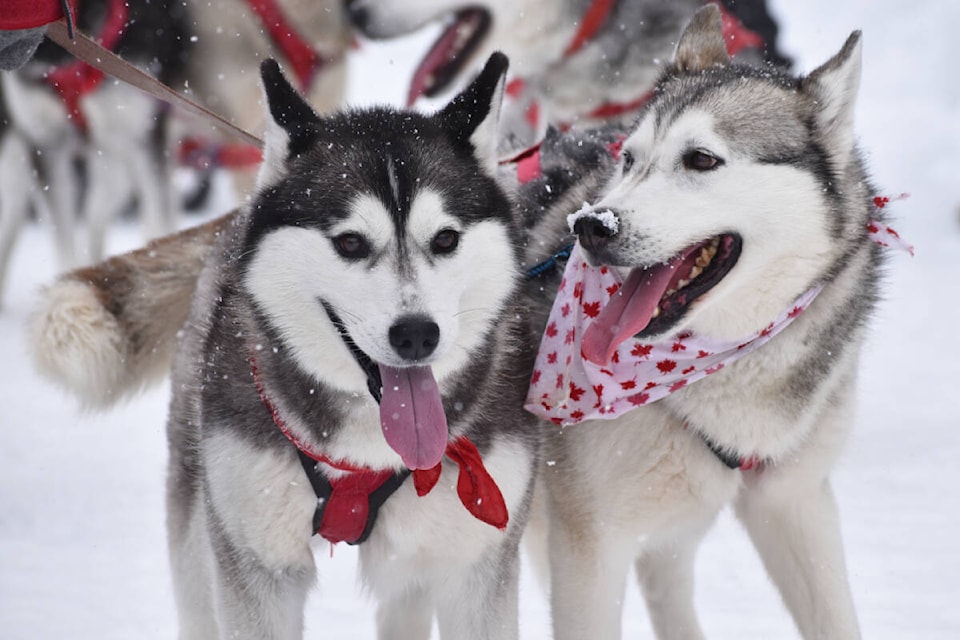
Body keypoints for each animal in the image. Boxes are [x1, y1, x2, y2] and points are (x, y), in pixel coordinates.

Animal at [516, 7, 876, 636]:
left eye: (701, 159)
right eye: (629, 160)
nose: (591, 226)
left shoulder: (795, 502)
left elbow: (835, 617)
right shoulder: (589, 543)